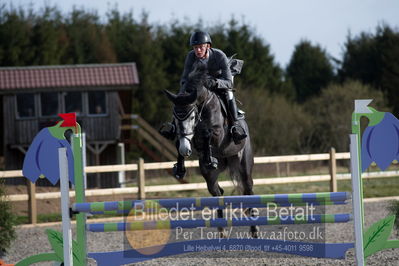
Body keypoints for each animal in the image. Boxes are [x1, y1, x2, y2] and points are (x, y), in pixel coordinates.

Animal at [163, 64, 260, 237]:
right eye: (175, 116)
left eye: (192, 117)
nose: (186, 149)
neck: (203, 105)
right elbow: (181, 143)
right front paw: (180, 167)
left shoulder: (218, 134)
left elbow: (208, 133)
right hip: (210, 176)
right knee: (217, 192)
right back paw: (221, 229)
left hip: (243, 164)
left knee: (248, 188)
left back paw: (254, 229)